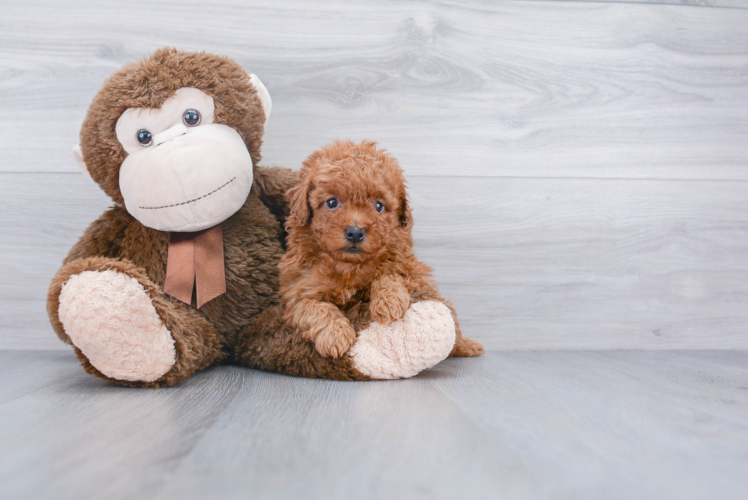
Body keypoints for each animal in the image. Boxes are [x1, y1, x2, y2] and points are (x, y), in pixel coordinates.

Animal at [280, 141, 486, 360]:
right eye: (332, 202)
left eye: (378, 206)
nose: (355, 233)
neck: (350, 266)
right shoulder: (298, 291)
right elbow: (314, 308)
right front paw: (335, 336)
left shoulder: (411, 269)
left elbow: (390, 272)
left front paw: (388, 302)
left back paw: (468, 346)